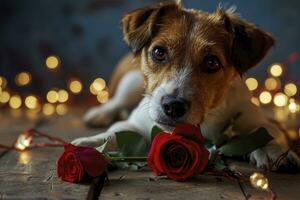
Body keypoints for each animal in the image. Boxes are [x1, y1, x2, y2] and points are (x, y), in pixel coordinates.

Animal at [72, 1, 300, 170]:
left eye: (212, 62)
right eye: (158, 52)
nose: (173, 106)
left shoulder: (253, 116)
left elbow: (264, 130)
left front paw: (271, 150)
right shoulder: (137, 123)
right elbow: (114, 132)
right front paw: (90, 145)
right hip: (132, 81)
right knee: (117, 102)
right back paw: (101, 113)